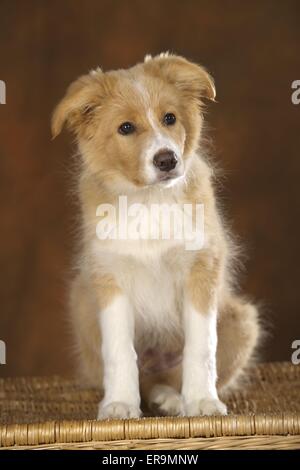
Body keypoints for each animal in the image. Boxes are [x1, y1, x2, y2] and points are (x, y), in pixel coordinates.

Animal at [51, 52, 260, 418]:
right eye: (126, 128)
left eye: (170, 118)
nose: (167, 160)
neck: (149, 201)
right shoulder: (110, 276)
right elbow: (120, 352)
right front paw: (120, 404)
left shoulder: (202, 268)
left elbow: (201, 347)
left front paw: (202, 401)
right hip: (83, 303)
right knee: (145, 378)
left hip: (243, 322)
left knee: (169, 377)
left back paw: (173, 398)